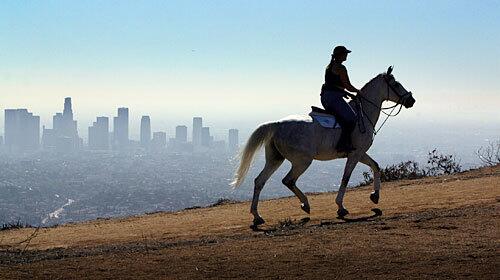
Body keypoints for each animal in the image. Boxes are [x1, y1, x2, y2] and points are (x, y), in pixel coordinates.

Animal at [232, 66, 416, 226]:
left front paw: (375, 196)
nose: (411, 100)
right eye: (396, 84)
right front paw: (341, 207)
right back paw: (305, 205)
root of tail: (277, 125)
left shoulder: (360, 153)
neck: (362, 114)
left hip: (275, 159)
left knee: (259, 181)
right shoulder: (355, 154)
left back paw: (257, 216)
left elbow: (376, 166)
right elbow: (346, 178)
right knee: (288, 180)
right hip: (302, 161)